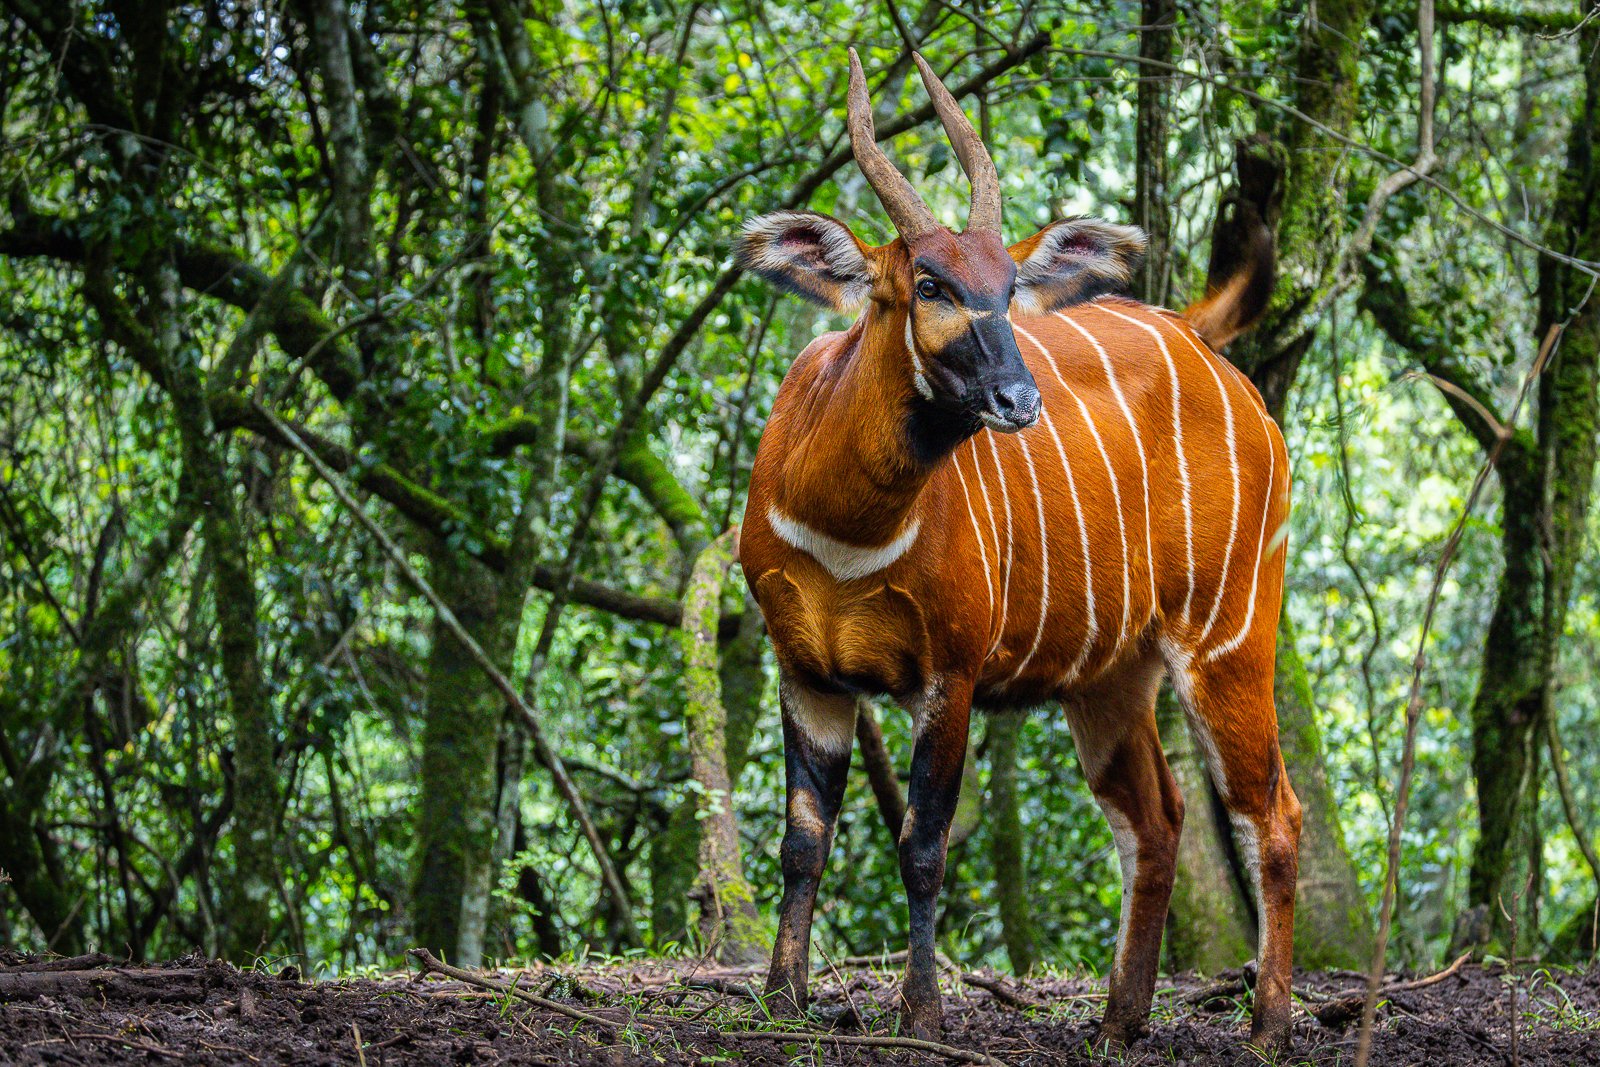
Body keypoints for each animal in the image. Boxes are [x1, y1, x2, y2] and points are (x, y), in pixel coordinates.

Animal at [735, 49, 1299, 1052]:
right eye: (929, 284)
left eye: (1007, 290)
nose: (1016, 397)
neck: (847, 527)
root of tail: (1203, 340)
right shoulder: (804, 668)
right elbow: (803, 839)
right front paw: (783, 1003)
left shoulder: (949, 671)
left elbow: (922, 845)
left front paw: (921, 1014)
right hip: (1108, 675)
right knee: (1158, 820)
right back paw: (1116, 1024)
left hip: (1229, 636)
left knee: (1271, 808)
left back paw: (1267, 1027)